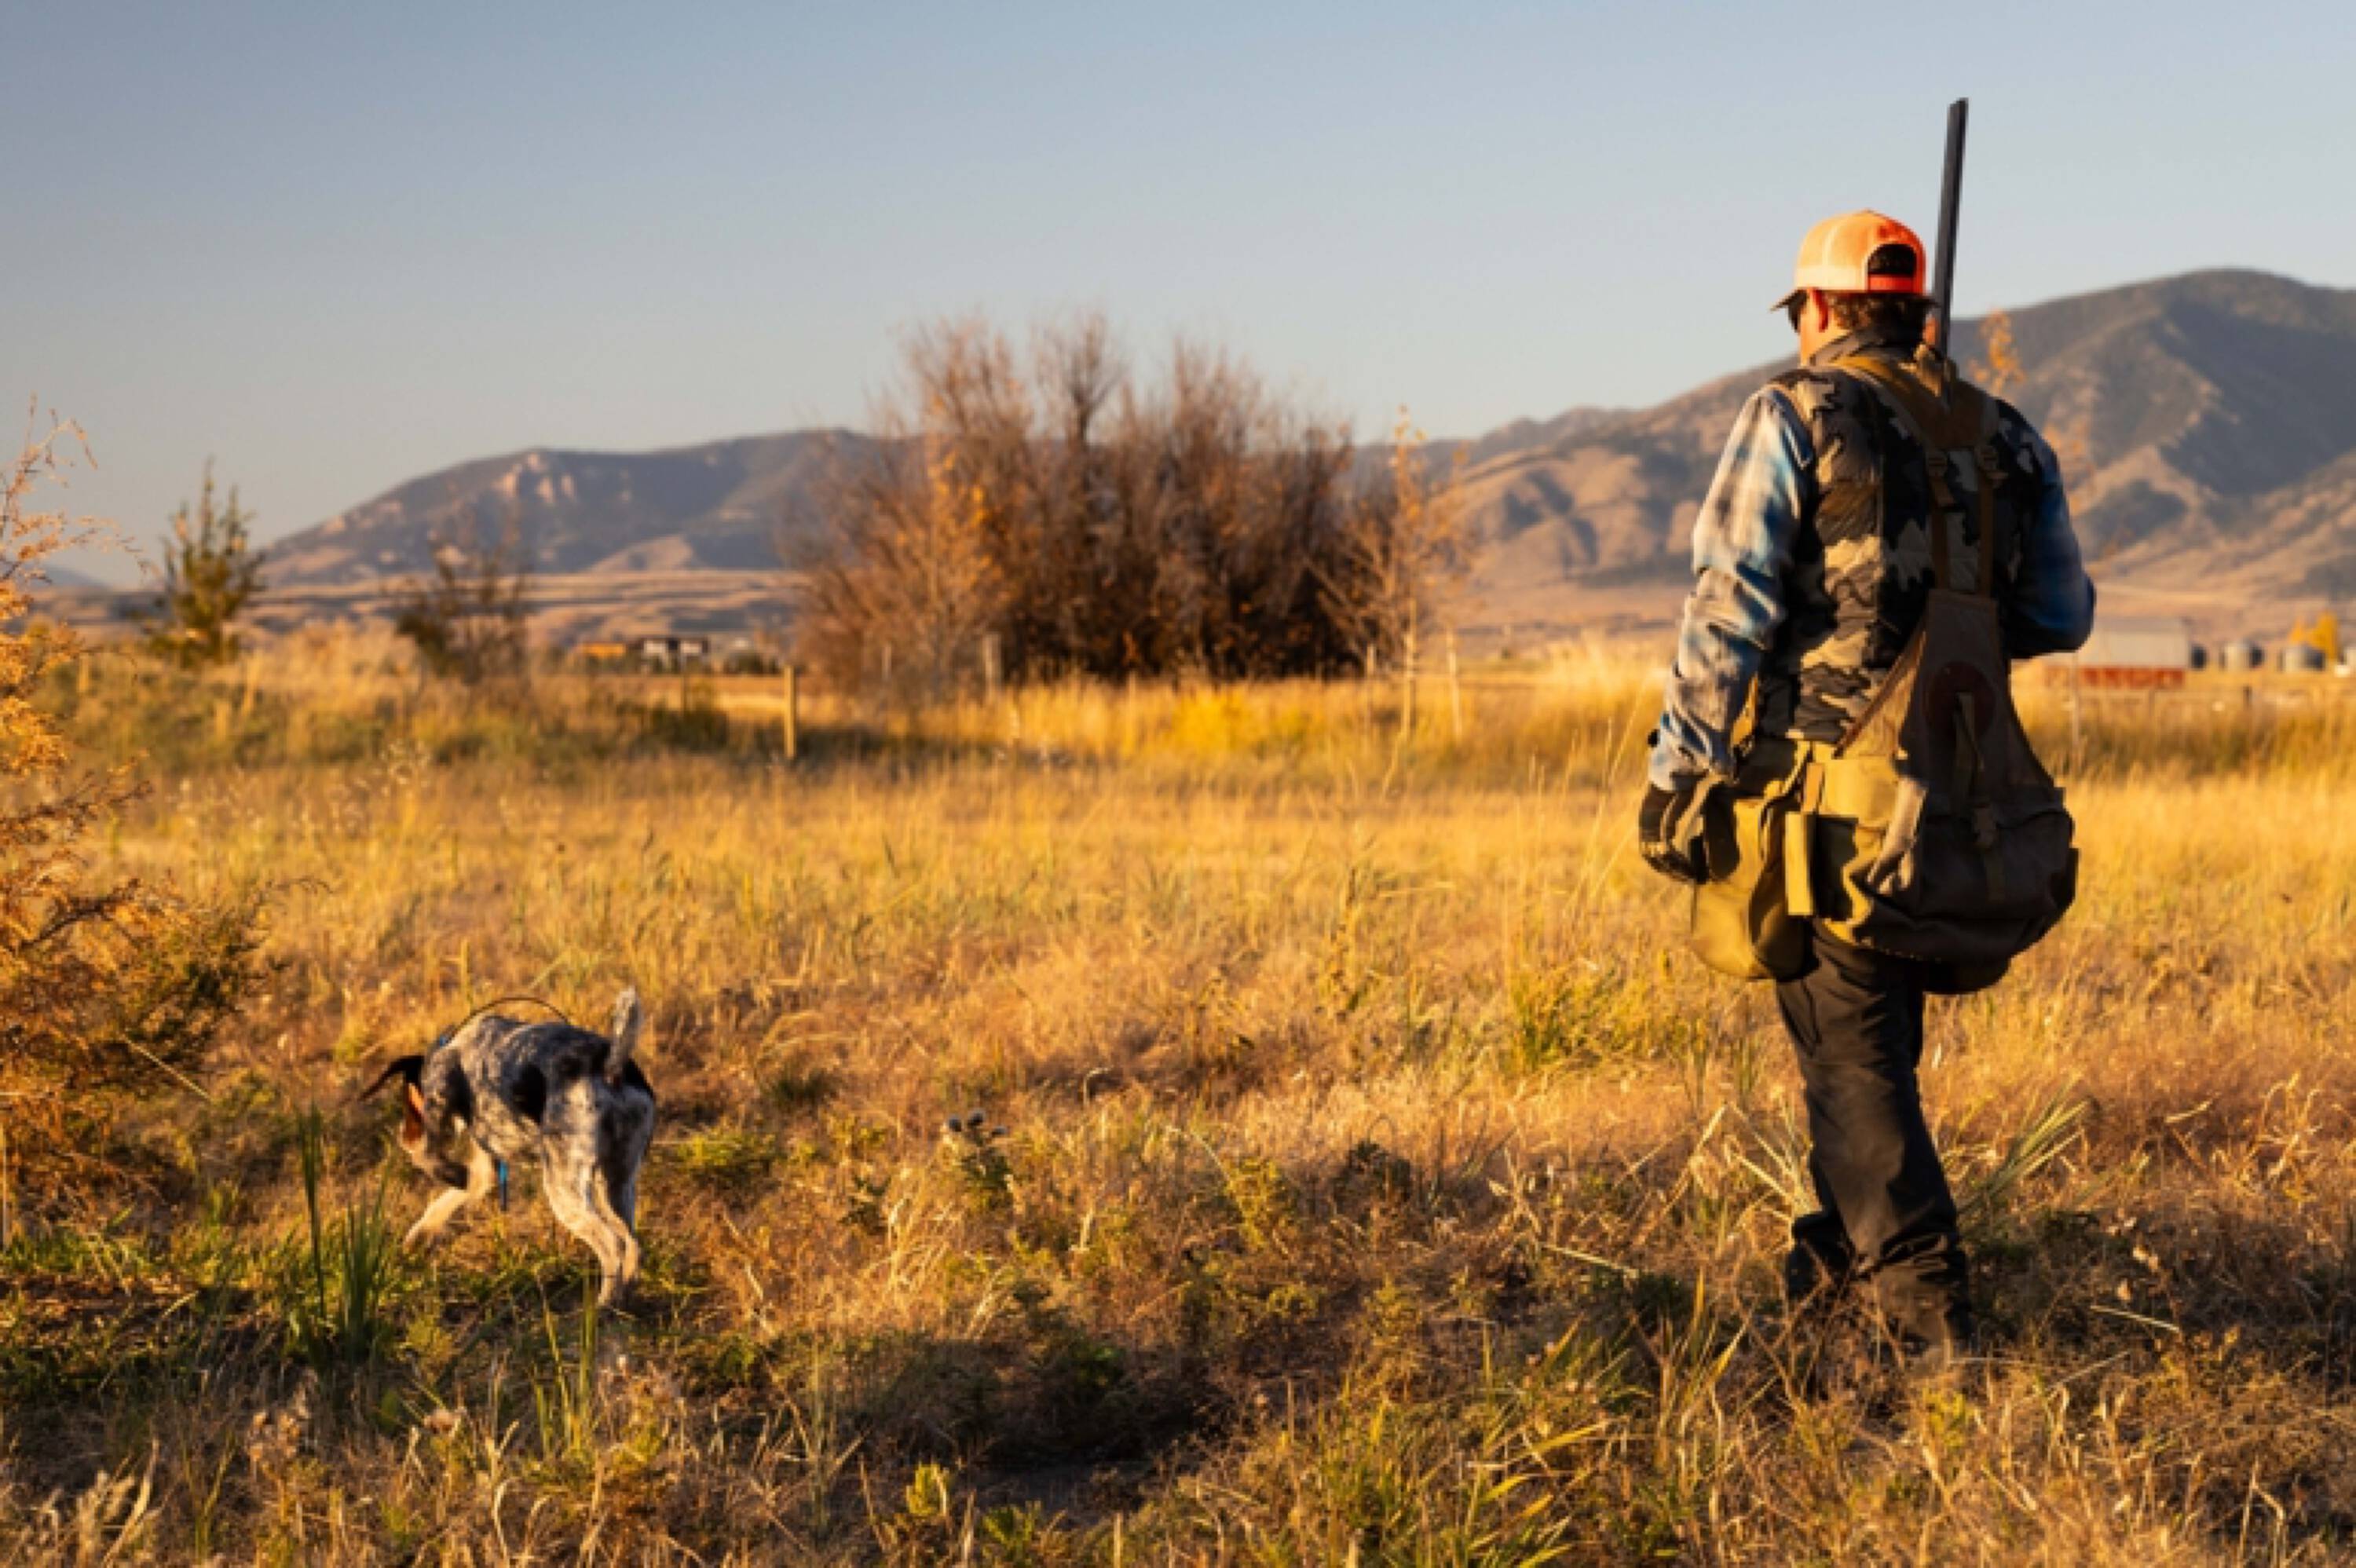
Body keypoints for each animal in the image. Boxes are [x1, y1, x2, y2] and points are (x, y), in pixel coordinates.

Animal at [362, 989, 655, 1306]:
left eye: (407, 1104)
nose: (403, 1134)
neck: (453, 1044)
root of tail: (611, 1067)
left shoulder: (440, 1097)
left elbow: (425, 1156)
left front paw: (446, 1171)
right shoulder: (486, 1169)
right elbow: (453, 1194)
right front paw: (420, 1235)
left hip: (565, 1188)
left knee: (613, 1245)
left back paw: (602, 1305)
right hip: (616, 1184)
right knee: (633, 1245)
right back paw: (624, 1297)